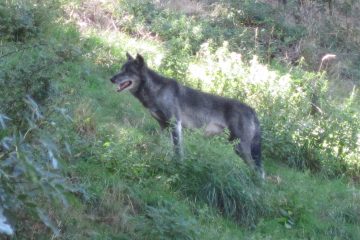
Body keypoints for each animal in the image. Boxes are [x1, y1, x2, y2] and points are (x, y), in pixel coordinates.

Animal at [109, 53, 264, 178]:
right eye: (121, 69)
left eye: (128, 71)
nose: (111, 79)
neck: (156, 90)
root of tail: (252, 110)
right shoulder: (163, 126)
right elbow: (162, 145)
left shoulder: (175, 125)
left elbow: (178, 150)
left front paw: (178, 166)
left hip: (240, 148)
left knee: (258, 171)